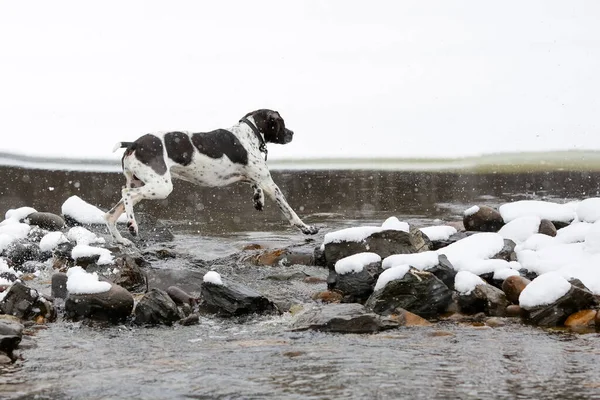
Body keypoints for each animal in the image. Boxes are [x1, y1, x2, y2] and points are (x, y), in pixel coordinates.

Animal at [104, 109, 318, 247]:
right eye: (281, 123)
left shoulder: (247, 176)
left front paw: (258, 199)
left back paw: (121, 239)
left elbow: (254, 184)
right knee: (126, 193)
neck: (248, 134)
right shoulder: (269, 183)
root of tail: (134, 144)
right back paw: (132, 226)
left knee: (110, 214)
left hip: (143, 183)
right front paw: (307, 229)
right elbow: (291, 213)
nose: (292, 133)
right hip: (160, 186)